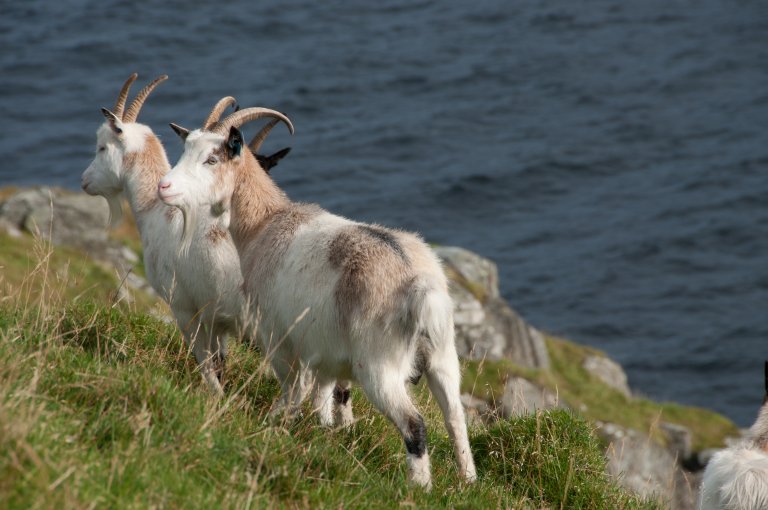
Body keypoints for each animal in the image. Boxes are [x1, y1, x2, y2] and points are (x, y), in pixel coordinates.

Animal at [159, 105, 476, 488]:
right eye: (185, 148)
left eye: (212, 158)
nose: (164, 187)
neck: (264, 225)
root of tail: (418, 285)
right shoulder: (323, 351)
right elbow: (320, 393)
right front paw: (321, 429)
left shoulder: (279, 337)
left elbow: (292, 388)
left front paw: (279, 422)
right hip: (442, 357)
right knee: (455, 417)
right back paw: (468, 481)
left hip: (379, 366)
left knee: (414, 423)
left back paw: (419, 487)